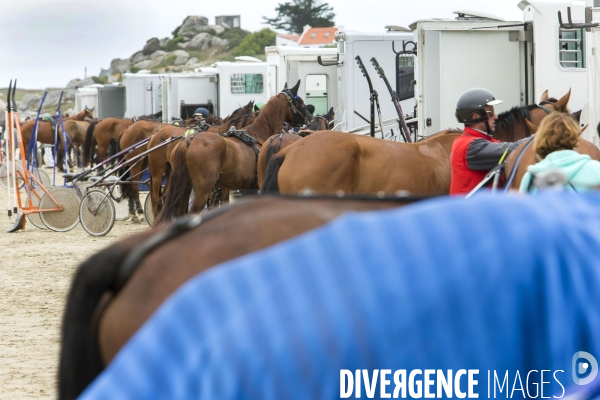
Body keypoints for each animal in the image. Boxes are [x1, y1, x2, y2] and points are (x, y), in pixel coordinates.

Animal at [155, 80, 308, 225]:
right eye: (300, 101)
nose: (309, 118)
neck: (258, 134)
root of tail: (189, 140)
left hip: (185, 188)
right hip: (201, 191)